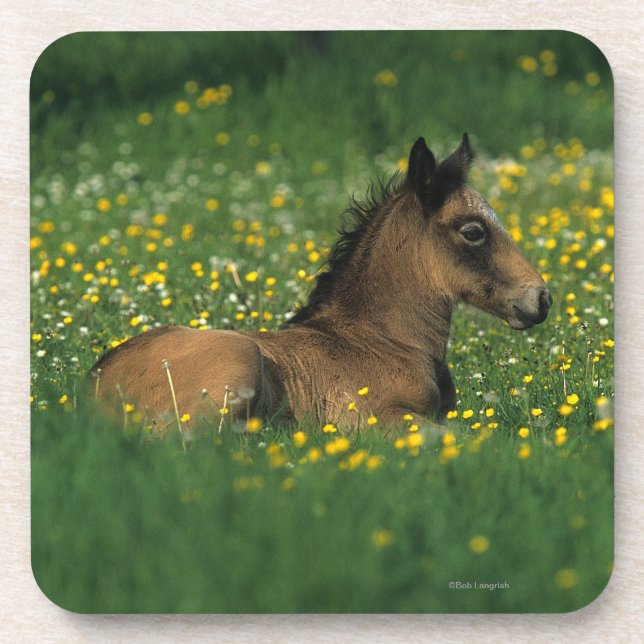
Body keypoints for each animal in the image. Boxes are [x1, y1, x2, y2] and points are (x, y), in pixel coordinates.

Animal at [90, 134, 552, 433]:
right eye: (473, 231)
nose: (541, 297)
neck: (385, 340)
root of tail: (92, 387)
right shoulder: (374, 417)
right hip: (236, 362)